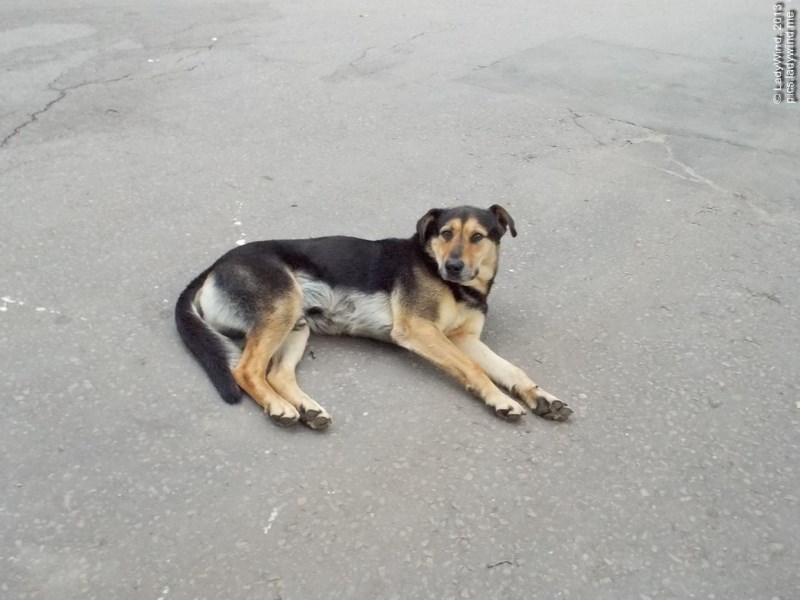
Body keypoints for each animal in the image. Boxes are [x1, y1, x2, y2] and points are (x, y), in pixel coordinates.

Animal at [175, 205, 572, 429]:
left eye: (477, 236)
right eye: (445, 233)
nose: (454, 266)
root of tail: (214, 266)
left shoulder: (465, 339)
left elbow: (513, 370)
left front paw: (542, 397)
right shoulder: (419, 329)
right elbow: (473, 369)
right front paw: (500, 400)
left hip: (296, 323)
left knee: (276, 373)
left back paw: (307, 408)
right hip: (282, 308)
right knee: (246, 370)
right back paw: (279, 407)